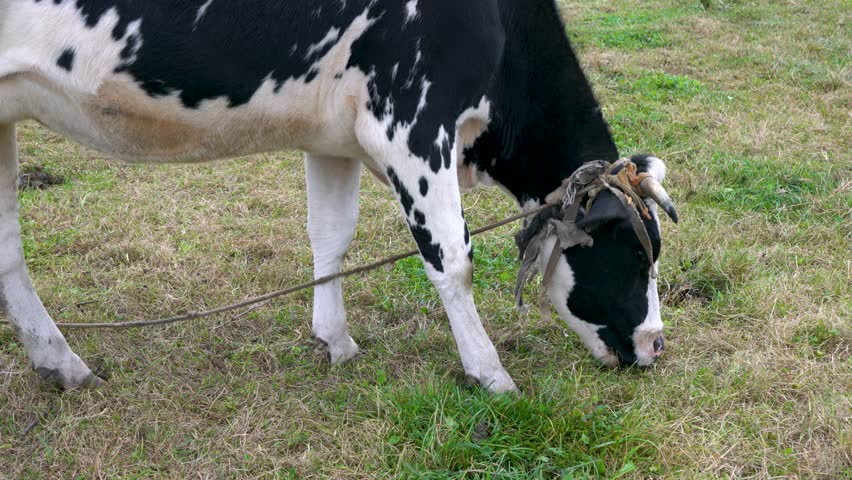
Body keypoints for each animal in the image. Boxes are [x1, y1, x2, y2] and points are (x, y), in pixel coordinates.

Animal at [0, 0, 677, 393]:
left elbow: (331, 233)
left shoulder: (334, 132)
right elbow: (452, 260)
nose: (656, 345)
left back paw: (58, 362)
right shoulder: (411, 121)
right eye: (635, 253)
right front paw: (490, 374)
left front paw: (335, 341)